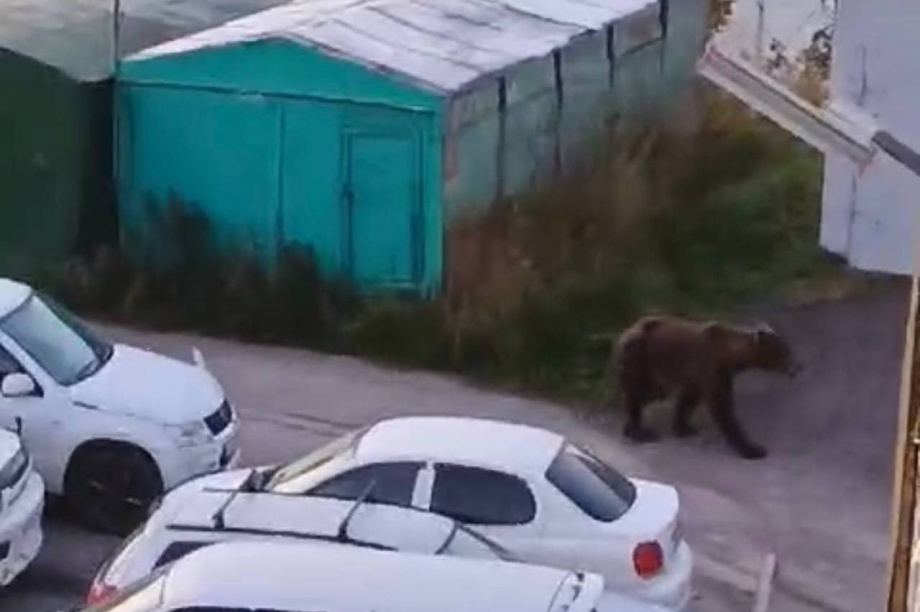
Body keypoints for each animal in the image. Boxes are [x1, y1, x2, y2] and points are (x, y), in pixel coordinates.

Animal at [616, 316, 800, 460]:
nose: (798, 367)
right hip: (639, 360)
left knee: (642, 396)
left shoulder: (701, 375)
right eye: (784, 352)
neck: (729, 355)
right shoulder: (711, 368)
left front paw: (684, 428)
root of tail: (624, 334)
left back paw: (629, 428)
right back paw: (640, 433)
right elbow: (721, 406)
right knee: (636, 395)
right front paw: (753, 449)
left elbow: (688, 399)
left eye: (788, 349)